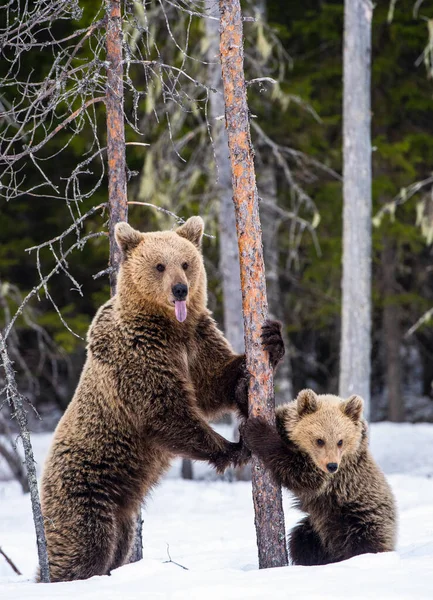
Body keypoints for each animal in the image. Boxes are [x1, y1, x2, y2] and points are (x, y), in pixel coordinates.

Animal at [39, 218, 284, 584]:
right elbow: (166, 410)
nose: (180, 289)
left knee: (118, 543)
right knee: (84, 545)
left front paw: (268, 344)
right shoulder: (137, 357)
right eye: (159, 265)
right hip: (84, 487)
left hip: (122, 511)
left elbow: (215, 382)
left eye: (186, 262)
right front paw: (234, 447)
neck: (168, 328)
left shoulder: (196, 341)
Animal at [241, 392, 396, 564]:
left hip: (360, 519)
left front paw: (257, 431)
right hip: (317, 528)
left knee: (365, 544)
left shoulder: (334, 476)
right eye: (319, 440)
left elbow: (302, 475)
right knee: (301, 541)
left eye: (340, 441)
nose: (332, 465)